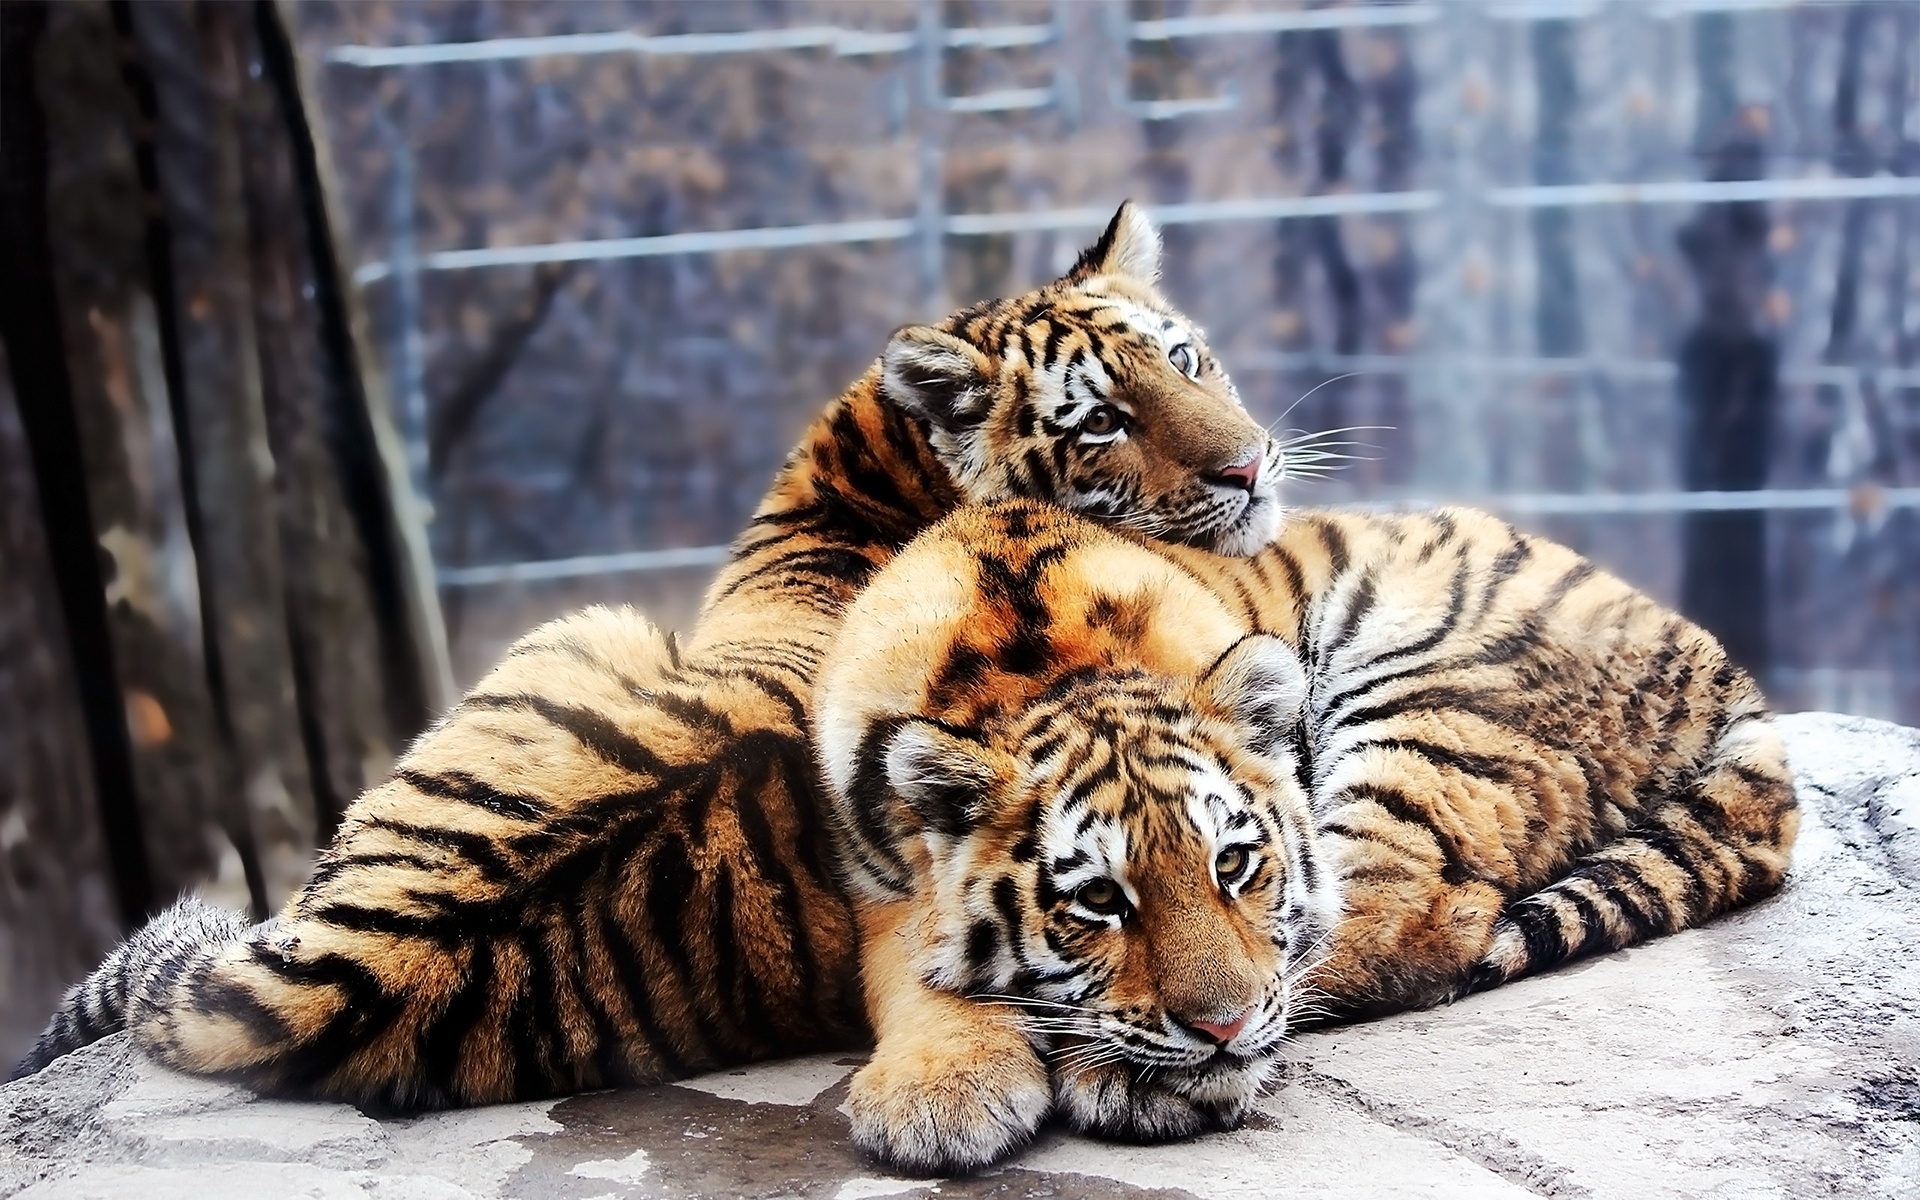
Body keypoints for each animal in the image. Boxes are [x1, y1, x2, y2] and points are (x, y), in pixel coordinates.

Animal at [811, 498, 1799, 1174]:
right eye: (1098, 900)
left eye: (1234, 864)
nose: (1222, 1030)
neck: (1037, 672)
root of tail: (1715, 660)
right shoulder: (872, 882)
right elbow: (915, 974)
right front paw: (940, 1096)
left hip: (1425, 706)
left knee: (1408, 923)